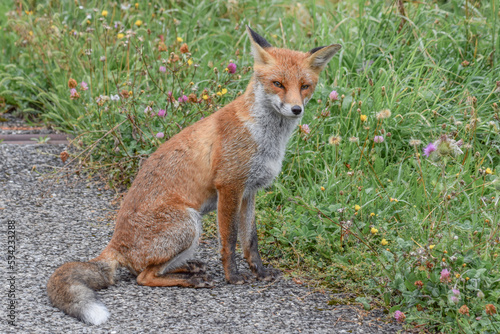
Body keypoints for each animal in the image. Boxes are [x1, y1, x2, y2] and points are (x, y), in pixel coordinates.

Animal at [47, 26, 342, 326]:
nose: (297, 109)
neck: (265, 137)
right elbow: (230, 240)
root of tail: (115, 244)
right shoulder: (229, 186)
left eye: (304, 86)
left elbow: (250, 240)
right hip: (189, 222)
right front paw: (233, 277)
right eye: (278, 83)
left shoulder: (249, 192)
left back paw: (190, 268)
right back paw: (191, 279)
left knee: (150, 270)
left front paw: (259, 271)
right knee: (144, 276)